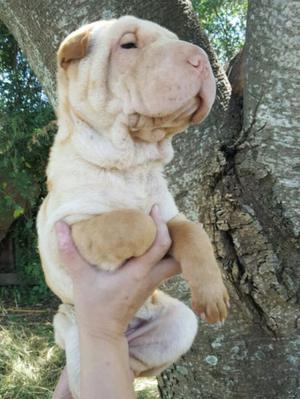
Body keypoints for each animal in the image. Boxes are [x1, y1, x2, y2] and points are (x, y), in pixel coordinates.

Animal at [37, 15, 230, 399]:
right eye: (127, 45)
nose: (201, 58)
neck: (132, 163)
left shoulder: (169, 213)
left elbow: (194, 231)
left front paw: (213, 292)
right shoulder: (66, 228)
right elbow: (133, 222)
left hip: (180, 322)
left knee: (136, 363)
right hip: (75, 340)